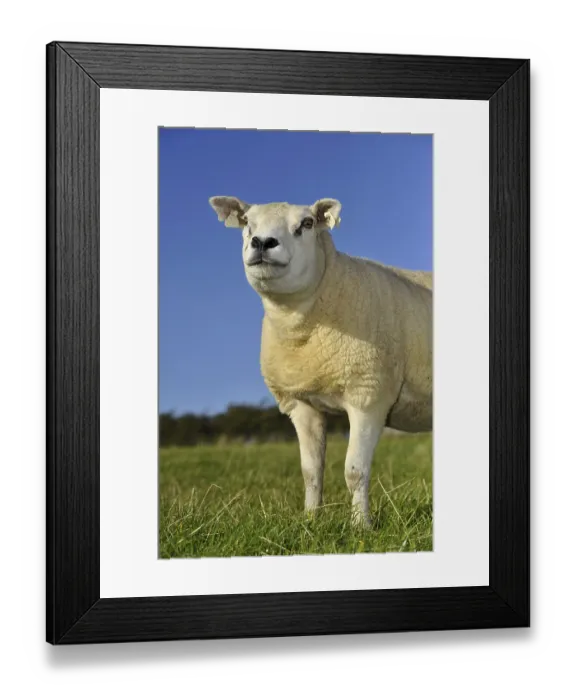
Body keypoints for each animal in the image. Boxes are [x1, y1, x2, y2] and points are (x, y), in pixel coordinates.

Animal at [209, 196, 432, 528]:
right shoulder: (302, 403)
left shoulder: (368, 395)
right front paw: (310, 521)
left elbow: (355, 471)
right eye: (247, 221)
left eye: (307, 223)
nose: (262, 242)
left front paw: (361, 526)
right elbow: (311, 471)